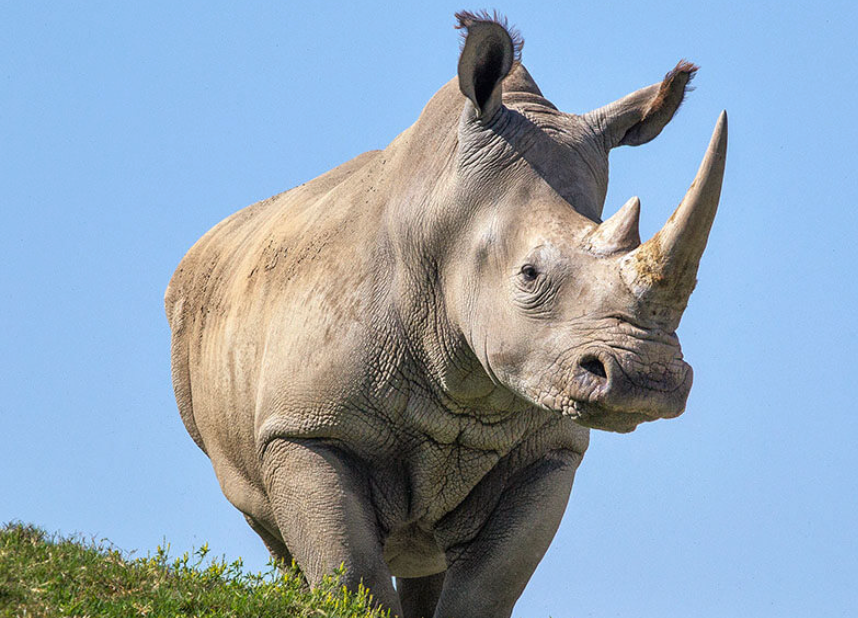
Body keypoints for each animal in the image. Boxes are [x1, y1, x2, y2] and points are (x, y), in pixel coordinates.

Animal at [165, 11, 726, 618]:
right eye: (529, 275)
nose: (647, 380)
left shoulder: (549, 453)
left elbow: (486, 588)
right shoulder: (304, 429)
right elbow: (350, 575)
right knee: (272, 528)